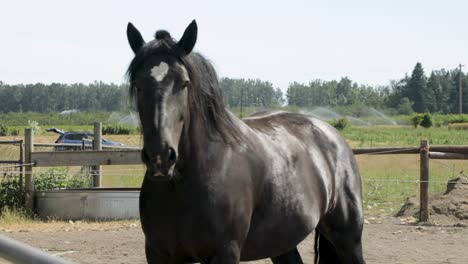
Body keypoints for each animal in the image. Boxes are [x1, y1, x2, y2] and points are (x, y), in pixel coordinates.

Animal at [127, 19, 366, 262]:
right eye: (137, 83)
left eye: (184, 83)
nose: (160, 157)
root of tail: (333, 135)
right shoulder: (158, 254)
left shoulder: (226, 253)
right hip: (281, 242)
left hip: (348, 238)